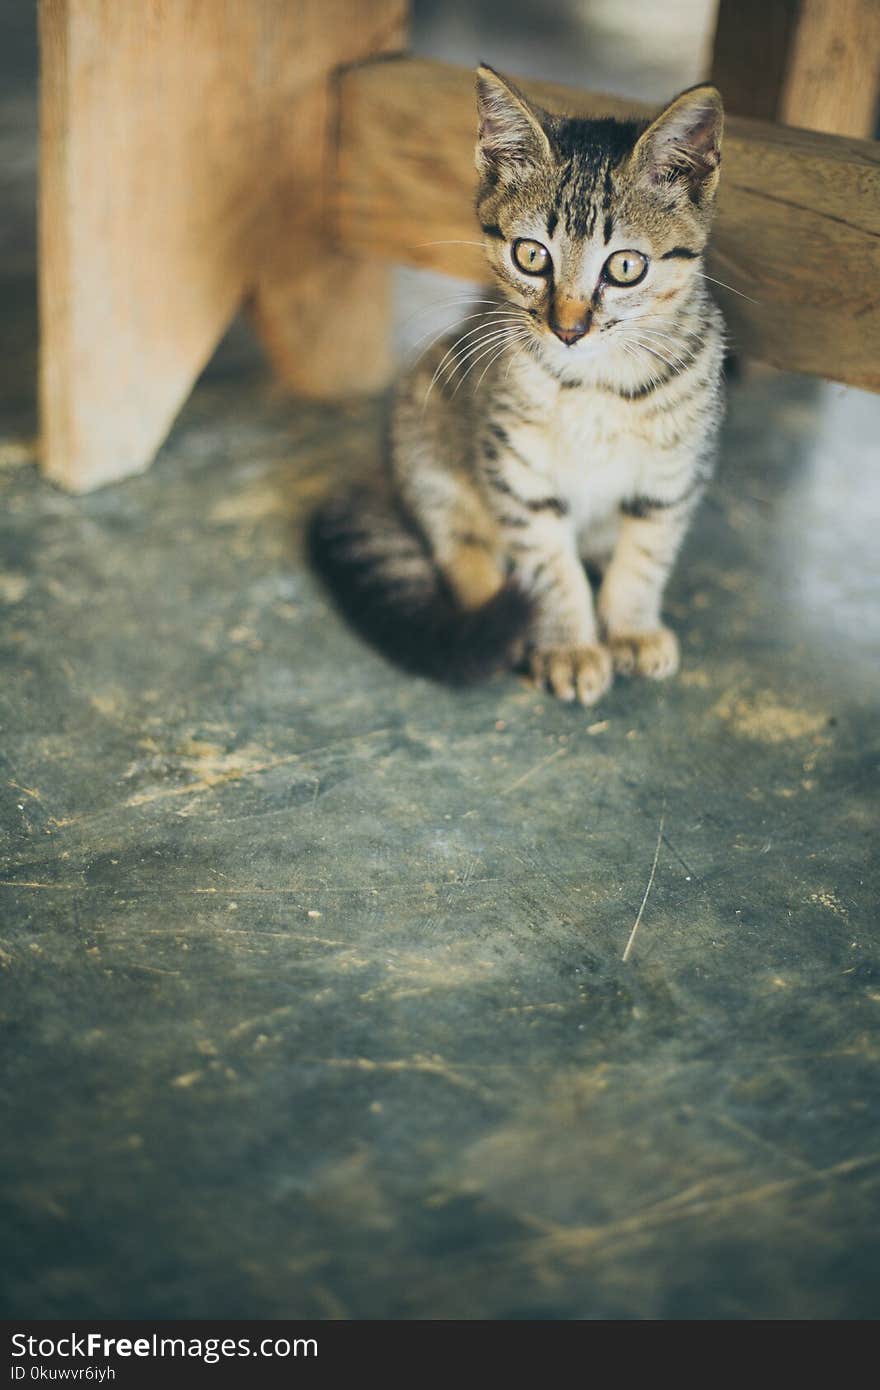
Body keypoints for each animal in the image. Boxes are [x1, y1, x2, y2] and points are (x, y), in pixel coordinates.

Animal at [312, 66, 722, 706]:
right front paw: (569, 645)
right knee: (460, 546)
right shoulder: (517, 472)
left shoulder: (674, 474)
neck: (596, 385)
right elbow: (549, 570)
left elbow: (646, 555)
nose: (568, 329)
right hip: (426, 428)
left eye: (625, 267)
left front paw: (630, 628)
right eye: (531, 255)